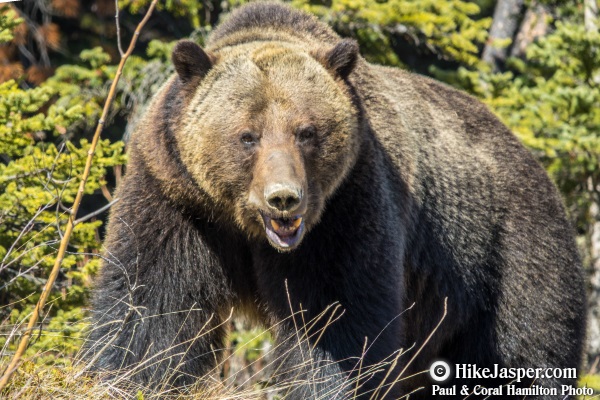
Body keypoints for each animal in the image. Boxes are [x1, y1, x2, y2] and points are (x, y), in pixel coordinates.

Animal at [86, 1, 588, 398]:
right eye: (248, 135)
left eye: (306, 132)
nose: (284, 198)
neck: (245, 228)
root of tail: (532, 160)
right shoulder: (178, 199)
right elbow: (149, 309)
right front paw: (126, 377)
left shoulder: (346, 207)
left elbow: (336, 320)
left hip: (507, 256)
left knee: (527, 349)